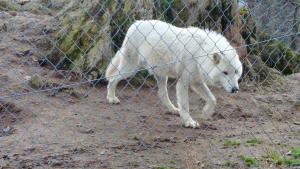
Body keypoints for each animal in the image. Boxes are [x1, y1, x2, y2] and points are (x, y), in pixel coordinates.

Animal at [104, 19, 243, 128]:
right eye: (225, 72)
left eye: (236, 72)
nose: (235, 89)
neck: (201, 51)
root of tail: (135, 24)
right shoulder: (183, 83)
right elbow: (186, 106)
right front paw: (189, 122)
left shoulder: (196, 82)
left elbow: (213, 99)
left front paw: (205, 113)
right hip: (130, 69)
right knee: (112, 79)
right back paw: (111, 98)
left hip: (160, 74)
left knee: (161, 94)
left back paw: (173, 110)